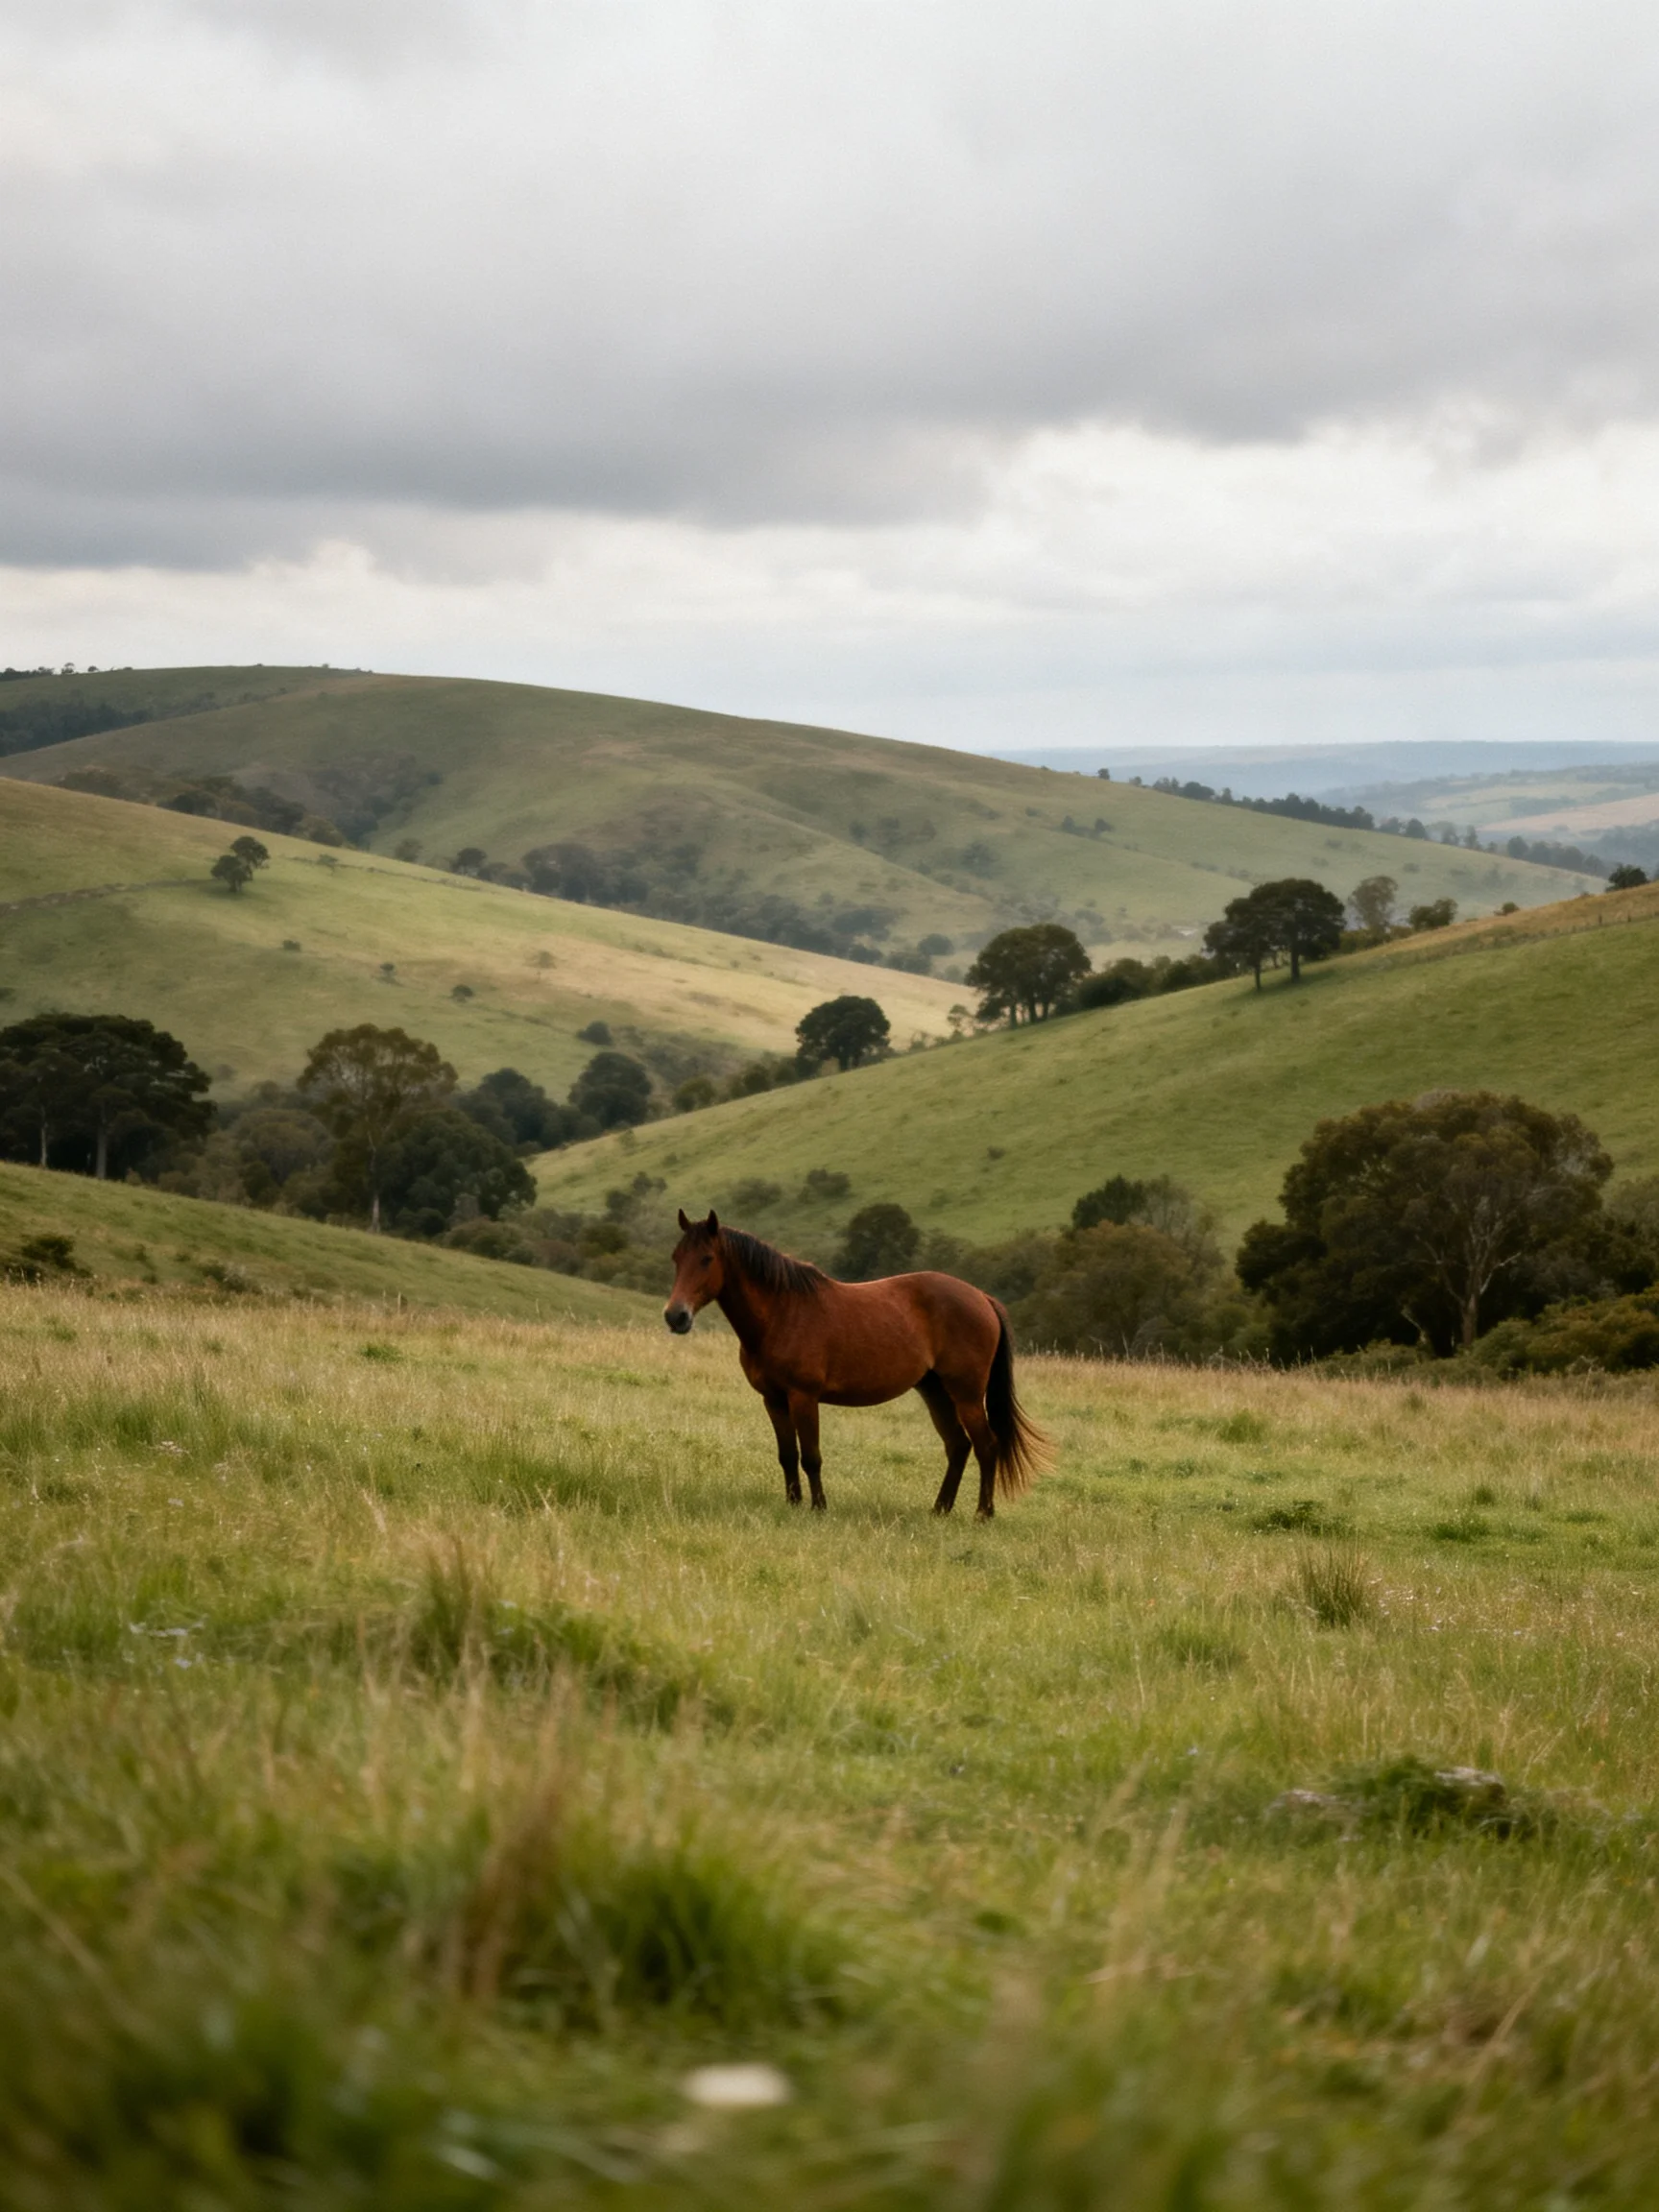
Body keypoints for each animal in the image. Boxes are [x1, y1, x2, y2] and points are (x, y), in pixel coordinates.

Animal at [664, 1209, 1046, 1517]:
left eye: (707, 1258)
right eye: (676, 1257)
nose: (675, 1316)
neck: (781, 1312)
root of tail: (981, 1297)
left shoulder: (803, 1397)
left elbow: (811, 1456)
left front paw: (818, 1508)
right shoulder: (773, 1400)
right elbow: (787, 1456)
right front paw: (793, 1504)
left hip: (966, 1394)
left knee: (986, 1446)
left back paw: (983, 1513)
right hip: (935, 1392)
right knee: (958, 1446)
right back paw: (940, 1510)